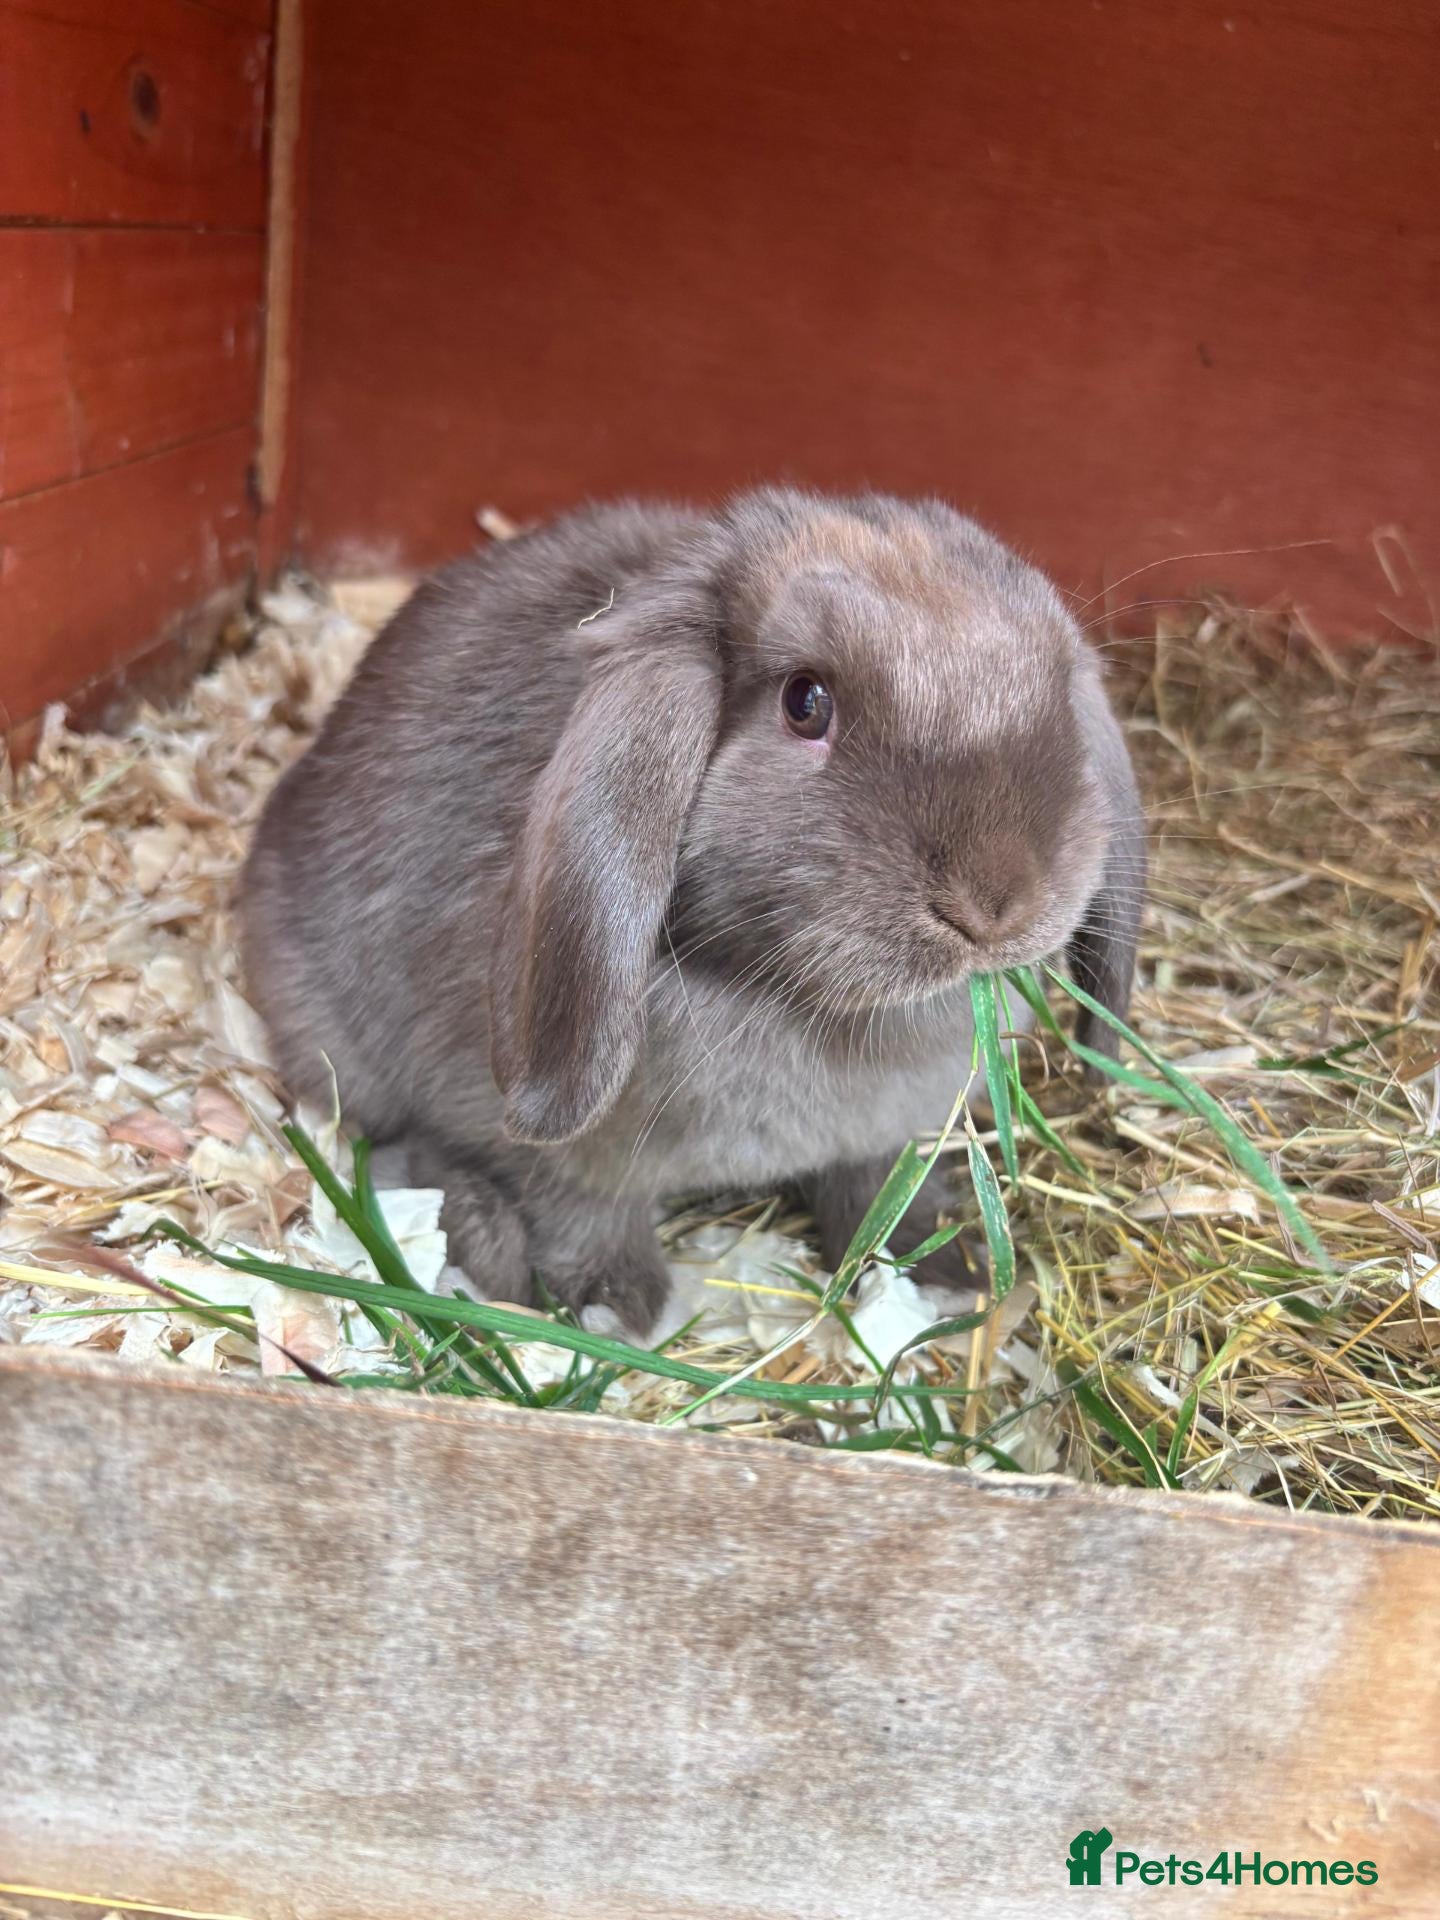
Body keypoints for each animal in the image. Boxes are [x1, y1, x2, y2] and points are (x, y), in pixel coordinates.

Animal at [239, 488, 1144, 1336]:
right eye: (805, 702)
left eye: (1054, 691)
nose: (995, 904)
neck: (793, 1000)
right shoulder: (548, 1152)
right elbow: (578, 1213)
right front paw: (615, 1307)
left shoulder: (887, 1142)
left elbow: (879, 1194)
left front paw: (945, 1272)